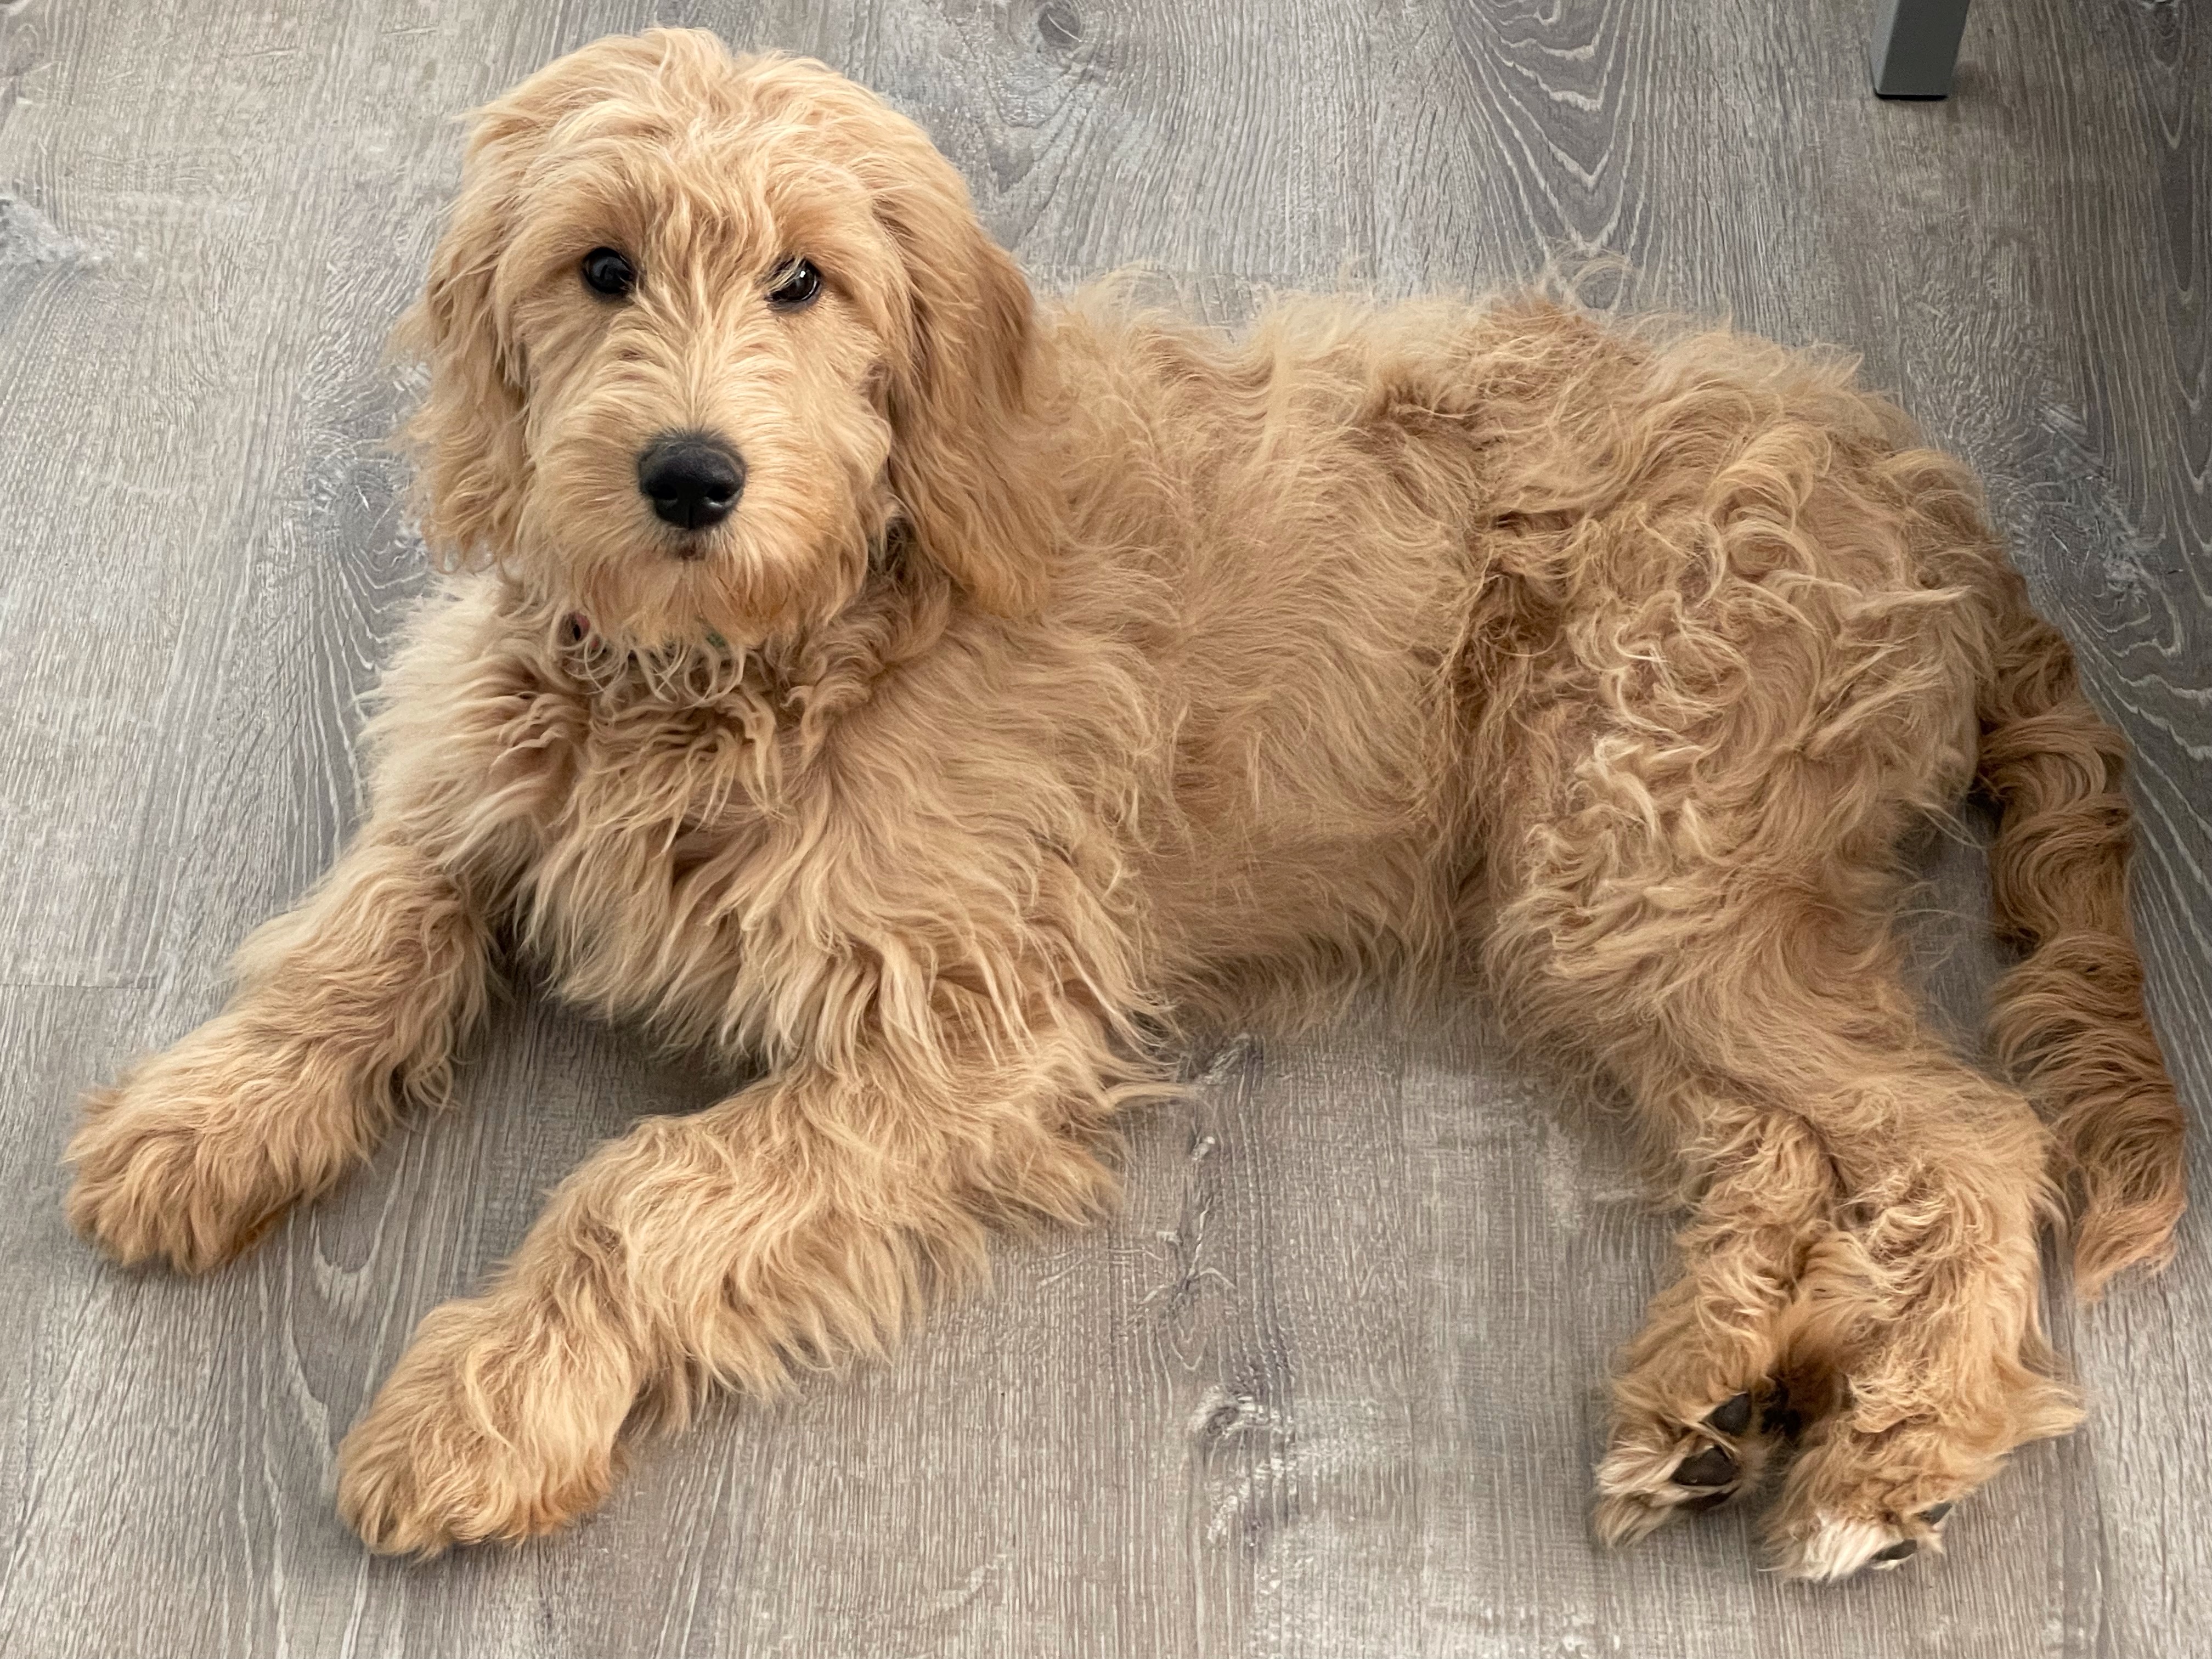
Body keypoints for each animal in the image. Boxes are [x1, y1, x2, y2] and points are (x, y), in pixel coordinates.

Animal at [60, 29, 2185, 1583]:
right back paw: (1710, 1405)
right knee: (1794, 1157)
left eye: (801, 280)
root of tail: (1941, 503)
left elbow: (640, 1188)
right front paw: (200, 1117)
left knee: (1969, 1140)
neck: (771, 652)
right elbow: (363, 926)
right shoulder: (487, 782)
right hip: (1632, 921)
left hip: (1643, 857)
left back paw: (1886, 1451)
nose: (685, 473)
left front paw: (486, 1406)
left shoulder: (972, 1023)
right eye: (599, 268)